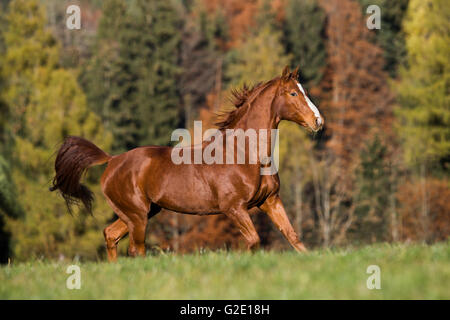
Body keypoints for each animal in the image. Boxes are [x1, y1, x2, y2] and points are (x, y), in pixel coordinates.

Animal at [50, 66, 324, 262]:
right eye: (293, 93)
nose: (318, 121)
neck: (244, 153)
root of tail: (112, 160)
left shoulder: (270, 201)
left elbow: (294, 237)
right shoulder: (234, 208)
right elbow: (254, 241)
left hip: (141, 212)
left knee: (111, 235)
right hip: (137, 215)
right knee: (136, 249)